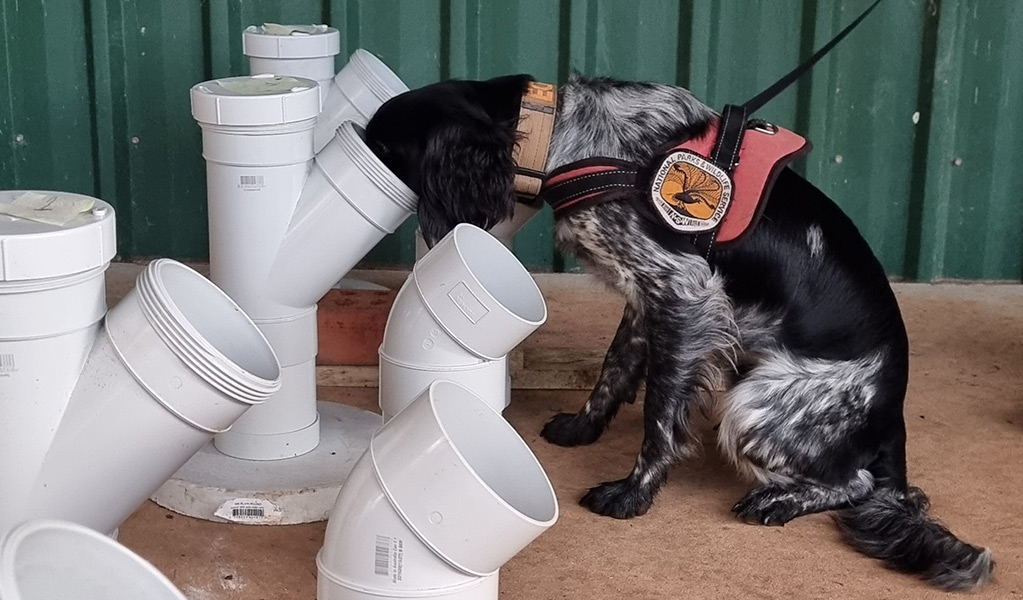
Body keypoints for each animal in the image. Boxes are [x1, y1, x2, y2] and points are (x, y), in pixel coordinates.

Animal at [366, 72, 990, 588]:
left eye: (385, 146)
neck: (570, 135)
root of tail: (892, 416)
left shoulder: (686, 293)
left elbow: (659, 416)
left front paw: (633, 494)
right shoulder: (649, 294)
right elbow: (615, 369)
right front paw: (582, 428)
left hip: (754, 407)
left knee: (861, 483)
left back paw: (778, 501)